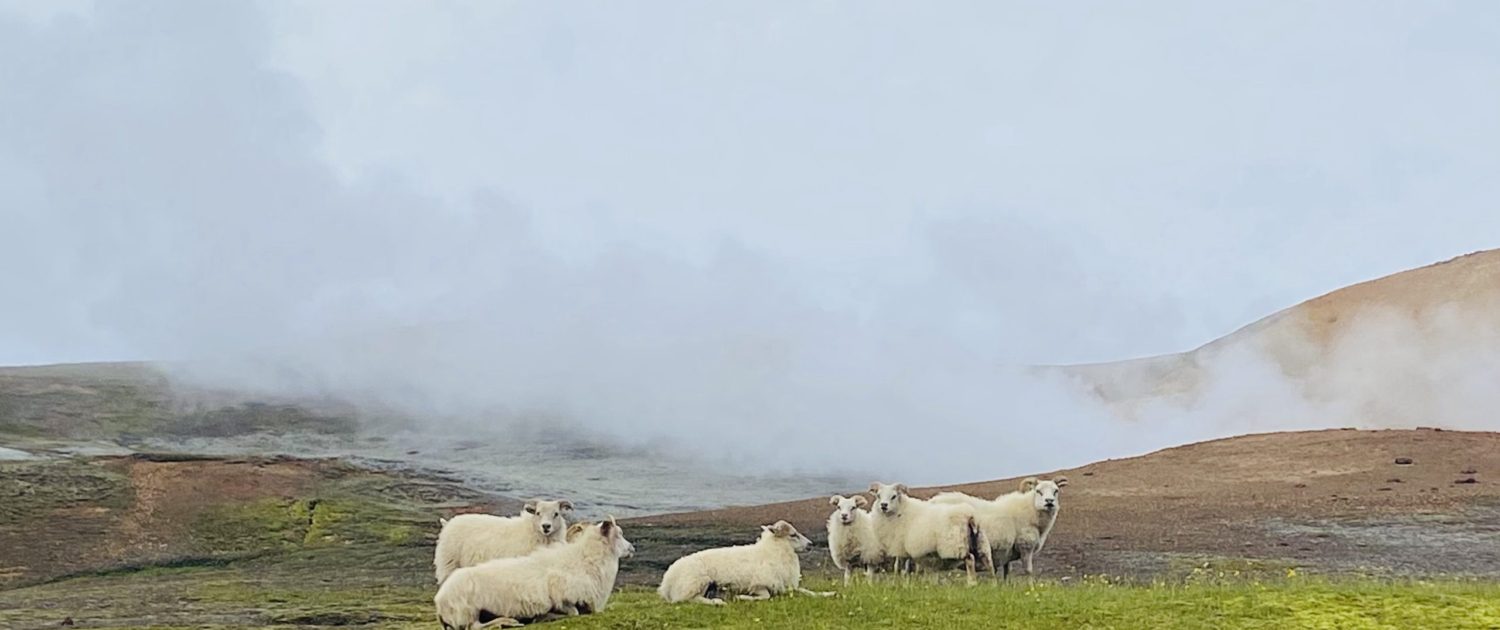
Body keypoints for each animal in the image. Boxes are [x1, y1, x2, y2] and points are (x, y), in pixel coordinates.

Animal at [433, 516, 634, 629]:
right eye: (619, 534)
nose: (632, 548)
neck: (584, 561)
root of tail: (440, 601)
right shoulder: (562, 597)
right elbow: (574, 612)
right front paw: (548, 616)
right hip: (468, 611)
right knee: (474, 627)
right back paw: (507, 621)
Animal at [659, 520, 835, 605]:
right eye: (793, 534)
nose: (810, 544)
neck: (772, 551)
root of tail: (667, 581)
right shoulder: (759, 585)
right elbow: (765, 597)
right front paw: (742, 597)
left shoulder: (786, 586)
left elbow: (808, 591)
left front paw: (829, 594)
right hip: (697, 581)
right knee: (687, 599)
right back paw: (717, 602)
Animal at [931, 476, 1068, 579]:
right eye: (1038, 491)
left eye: (1056, 491)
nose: (1049, 502)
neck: (1030, 510)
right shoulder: (1025, 546)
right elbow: (1028, 571)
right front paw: (1031, 589)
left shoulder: (1007, 552)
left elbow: (1007, 572)